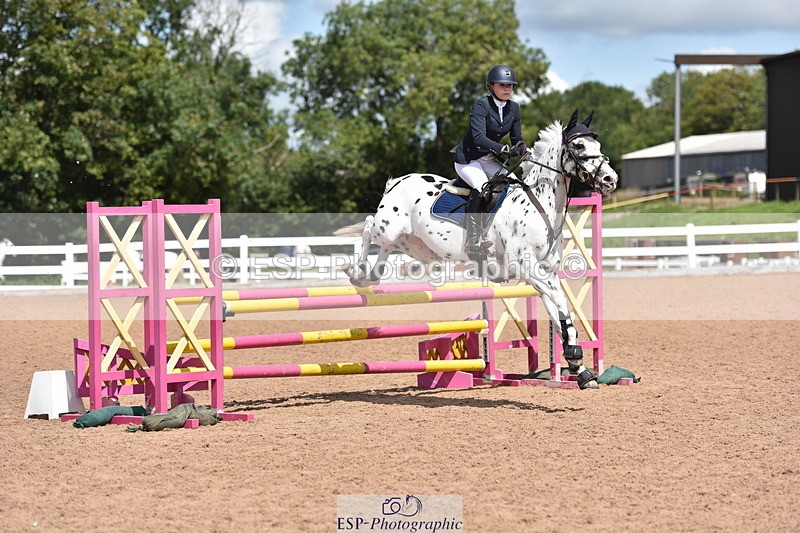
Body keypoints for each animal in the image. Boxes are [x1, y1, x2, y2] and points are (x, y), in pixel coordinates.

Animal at [335, 110, 618, 389]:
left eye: (598, 145)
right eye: (579, 146)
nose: (610, 179)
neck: (538, 205)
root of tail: (398, 181)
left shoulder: (545, 274)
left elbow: (561, 319)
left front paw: (580, 370)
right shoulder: (531, 271)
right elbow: (561, 306)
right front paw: (576, 362)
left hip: (415, 245)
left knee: (385, 250)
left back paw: (367, 278)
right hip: (388, 227)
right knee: (368, 227)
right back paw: (355, 272)